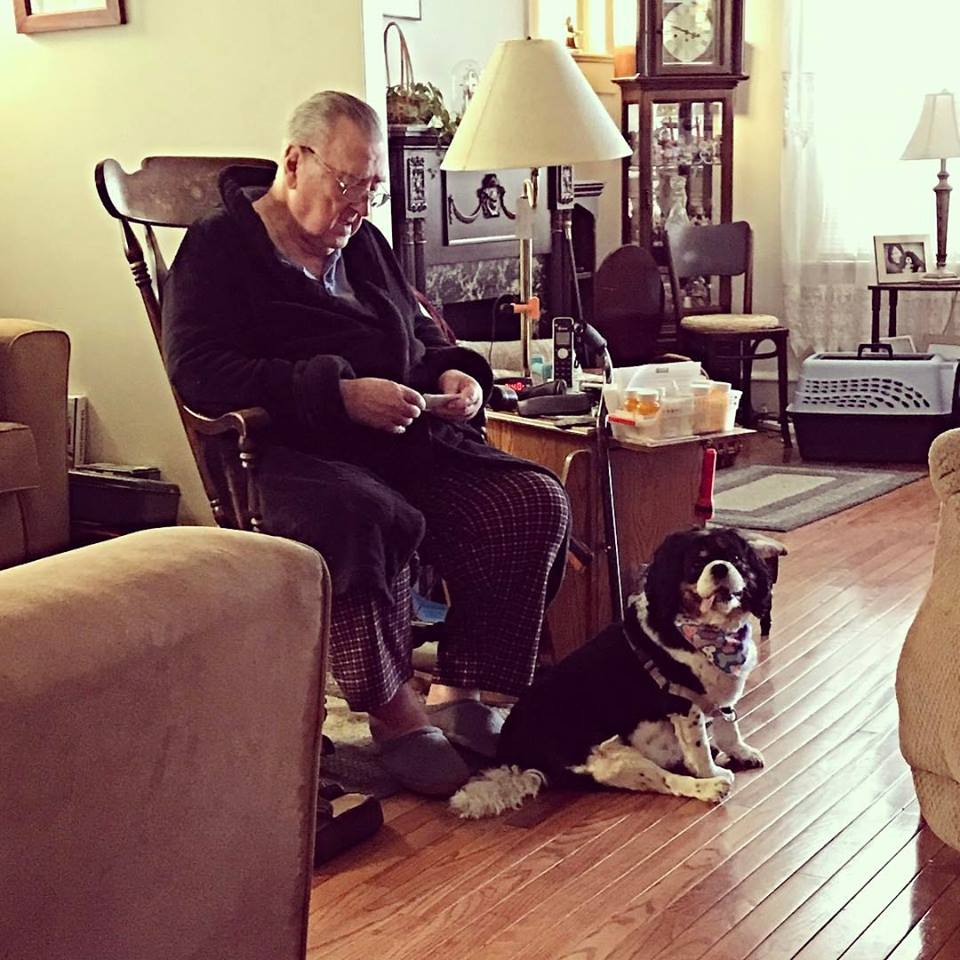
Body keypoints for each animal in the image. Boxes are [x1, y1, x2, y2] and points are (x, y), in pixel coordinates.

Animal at [450, 527, 772, 819]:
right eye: (696, 564)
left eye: (735, 558)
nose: (720, 567)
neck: (710, 634)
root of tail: (512, 752)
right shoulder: (683, 705)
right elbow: (699, 750)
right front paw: (711, 773)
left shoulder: (722, 696)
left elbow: (729, 728)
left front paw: (741, 752)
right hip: (612, 758)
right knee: (666, 781)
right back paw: (707, 787)